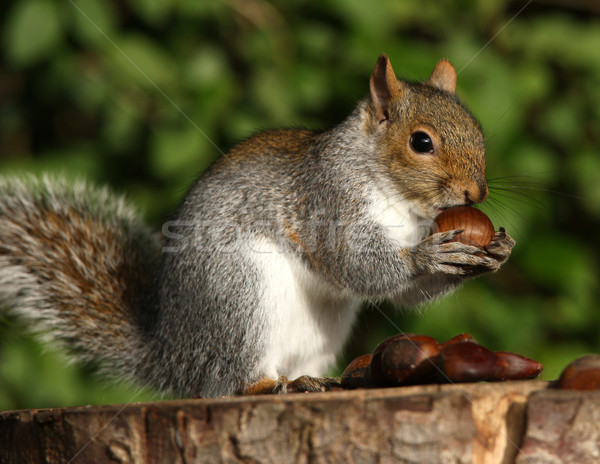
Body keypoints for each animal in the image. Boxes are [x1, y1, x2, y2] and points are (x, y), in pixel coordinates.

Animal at [0, 53, 516, 396]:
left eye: (478, 133)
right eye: (421, 142)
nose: (476, 194)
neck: (401, 201)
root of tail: (174, 357)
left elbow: (407, 293)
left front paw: (494, 252)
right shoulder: (326, 201)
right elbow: (356, 264)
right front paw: (430, 255)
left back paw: (317, 380)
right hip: (239, 295)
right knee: (232, 382)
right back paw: (272, 386)